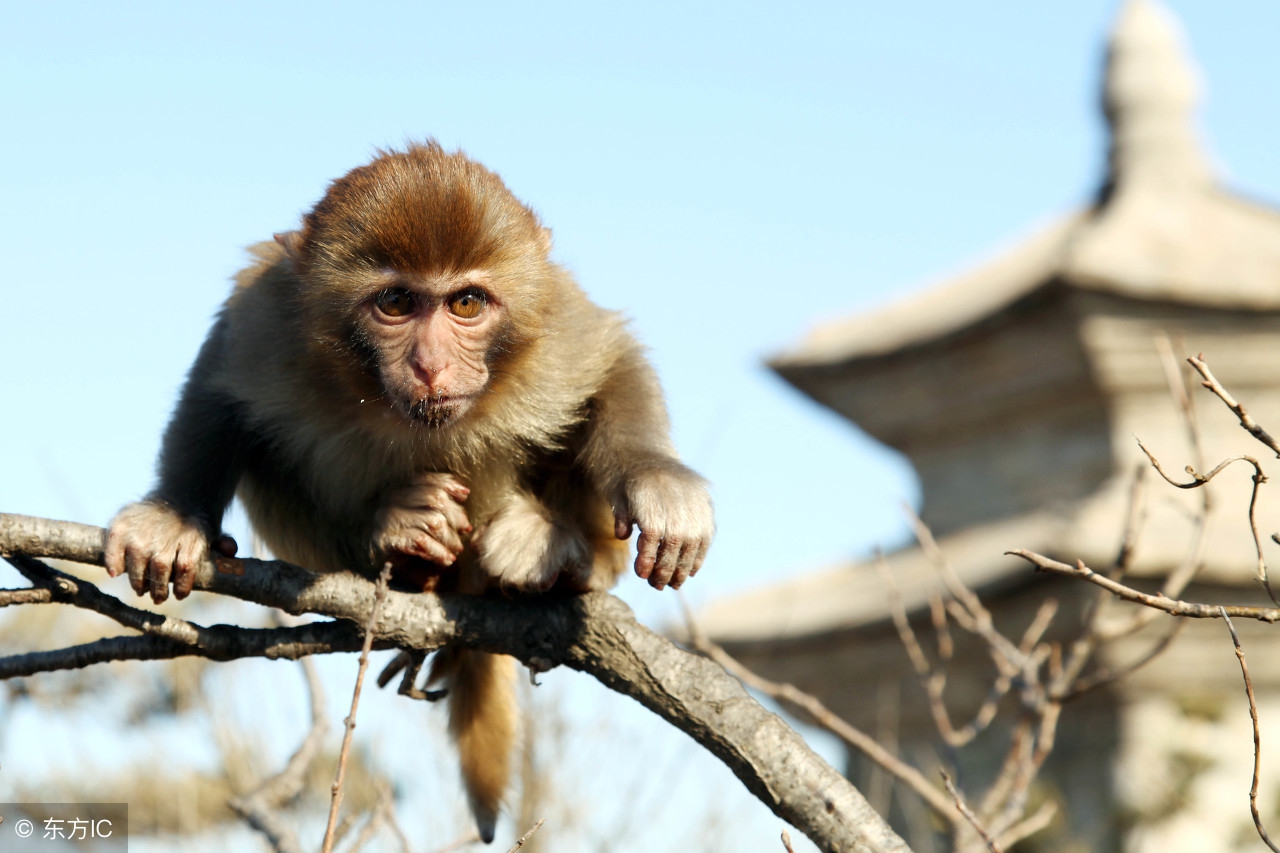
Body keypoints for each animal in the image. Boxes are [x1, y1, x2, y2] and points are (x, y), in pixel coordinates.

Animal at [102, 142, 711, 840]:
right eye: (395, 302)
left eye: (466, 304)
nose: (431, 366)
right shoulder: (267, 320)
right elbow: (218, 390)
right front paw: (174, 516)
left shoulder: (554, 325)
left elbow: (612, 361)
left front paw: (658, 480)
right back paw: (400, 537)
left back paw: (557, 557)